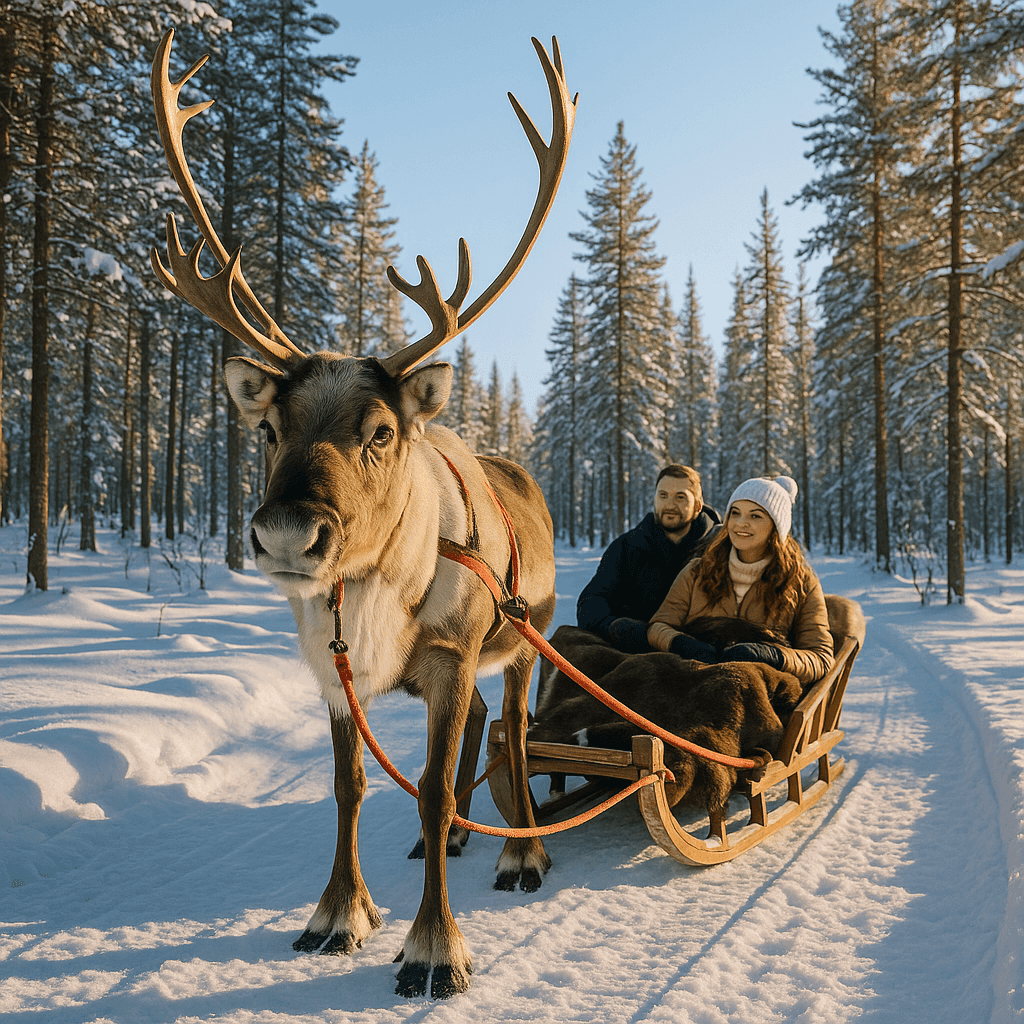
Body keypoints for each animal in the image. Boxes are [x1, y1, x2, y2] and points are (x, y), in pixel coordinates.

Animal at [149, 29, 575, 999]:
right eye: (269, 427)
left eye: (380, 431)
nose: (284, 534)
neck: (374, 594)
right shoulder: (331, 671)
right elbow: (351, 790)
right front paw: (338, 914)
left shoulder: (455, 655)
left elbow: (435, 783)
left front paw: (434, 948)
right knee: (483, 734)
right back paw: (448, 847)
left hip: (528, 634)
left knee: (515, 730)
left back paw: (519, 855)